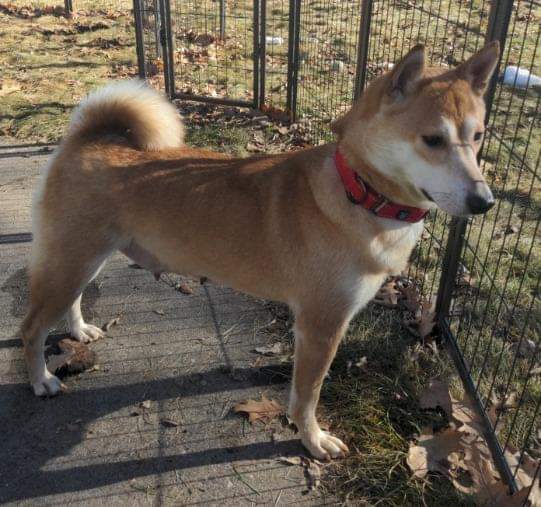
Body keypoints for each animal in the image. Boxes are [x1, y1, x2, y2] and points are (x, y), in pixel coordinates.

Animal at [21, 43, 496, 462]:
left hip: (85, 260)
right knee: (32, 327)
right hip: (72, 260)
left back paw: (78, 330)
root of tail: (87, 138)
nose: (485, 202)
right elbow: (306, 396)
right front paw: (312, 438)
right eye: (432, 140)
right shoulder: (321, 326)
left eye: (478, 137)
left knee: (72, 301)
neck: (358, 190)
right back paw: (41, 379)